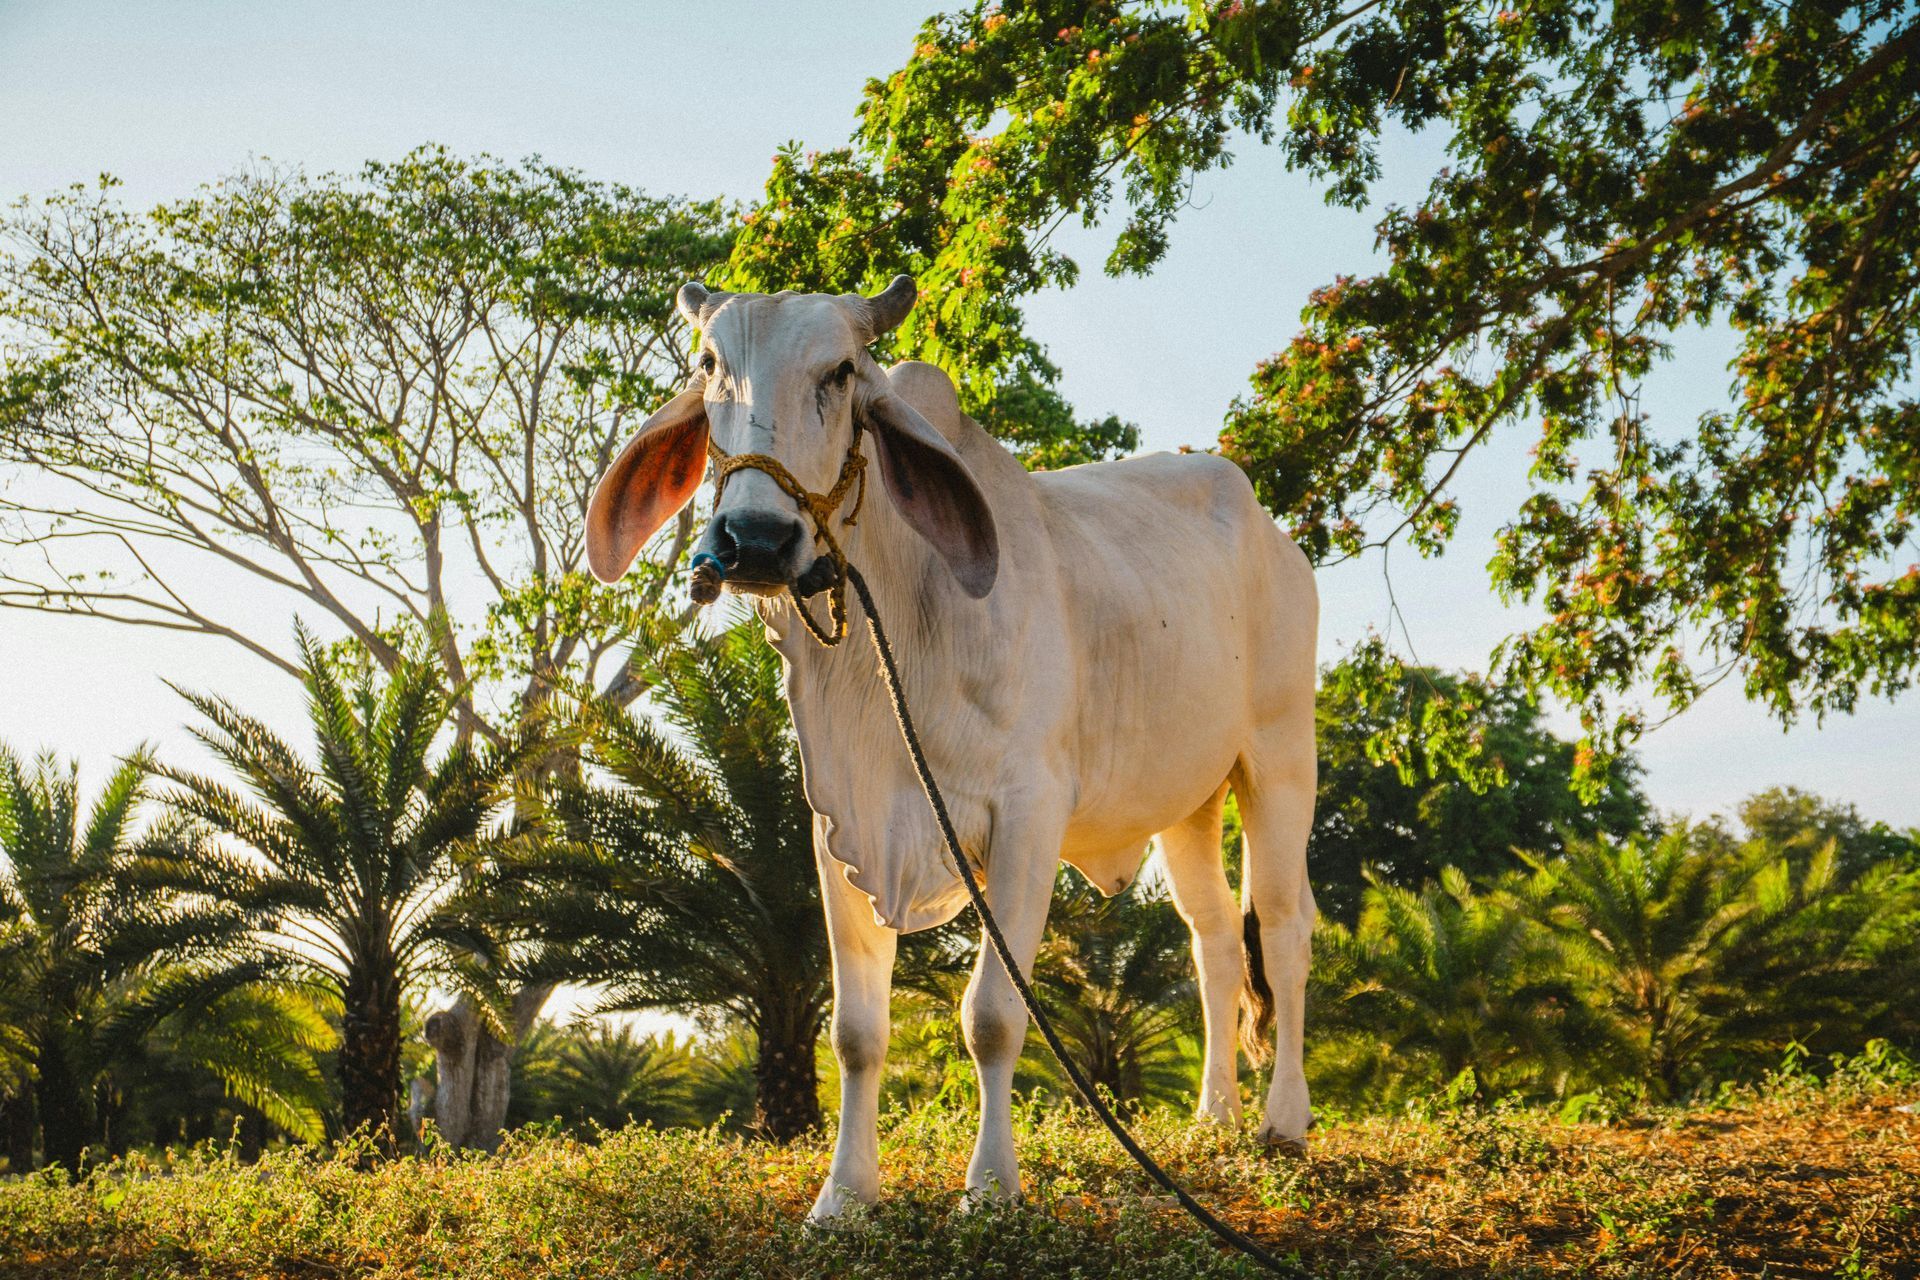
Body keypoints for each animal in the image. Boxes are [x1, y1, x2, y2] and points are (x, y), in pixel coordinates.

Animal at [585, 276, 1317, 1222]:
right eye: (710, 365)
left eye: (840, 374)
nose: (753, 541)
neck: (894, 625)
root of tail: (1271, 530)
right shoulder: (840, 827)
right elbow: (857, 1030)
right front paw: (844, 1196)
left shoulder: (1029, 817)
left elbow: (993, 1014)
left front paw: (992, 1185)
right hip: (1188, 803)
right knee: (1217, 941)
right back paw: (1214, 1116)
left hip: (1280, 755)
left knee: (1284, 931)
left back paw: (1283, 1122)